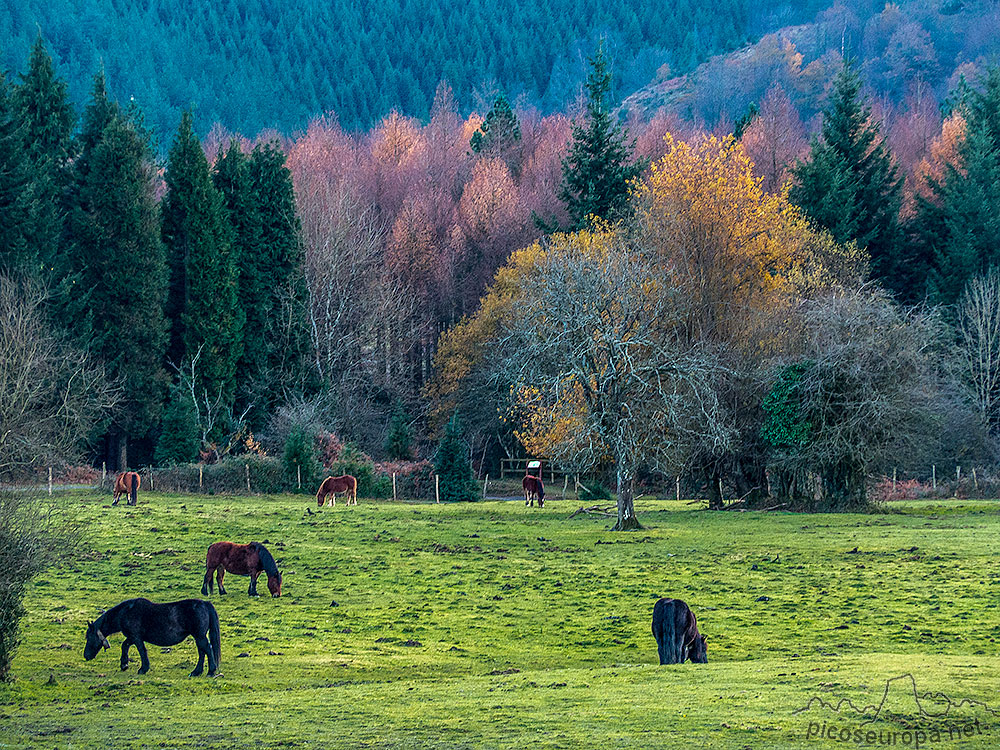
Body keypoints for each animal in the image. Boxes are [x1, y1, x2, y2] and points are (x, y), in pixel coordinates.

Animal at [84, 604, 221, 680]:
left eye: (89, 637)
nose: (86, 656)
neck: (125, 612)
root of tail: (204, 603)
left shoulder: (136, 638)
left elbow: (141, 651)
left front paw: (143, 669)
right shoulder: (132, 637)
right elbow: (124, 645)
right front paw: (124, 664)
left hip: (199, 635)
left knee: (207, 648)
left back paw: (211, 671)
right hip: (198, 636)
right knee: (202, 651)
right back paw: (196, 672)